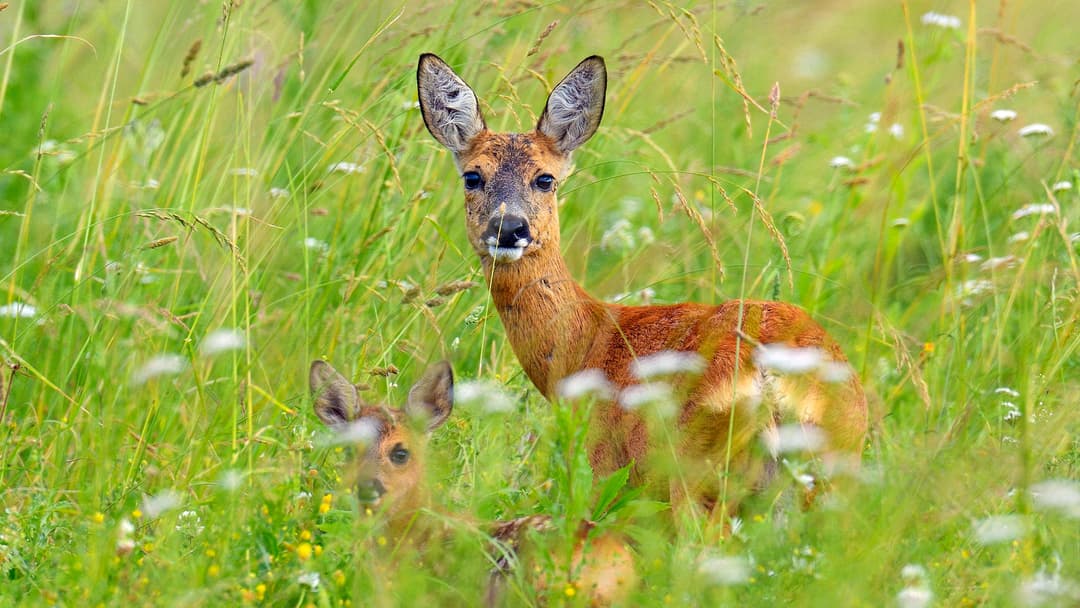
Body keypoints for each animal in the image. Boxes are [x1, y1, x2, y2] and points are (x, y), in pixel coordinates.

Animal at [412, 53, 868, 518]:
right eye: (472, 176)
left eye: (545, 178)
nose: (509, 227)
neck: (586, 344)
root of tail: (775, 377)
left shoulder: (604, 470)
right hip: (831, 471)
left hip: (696, 475)